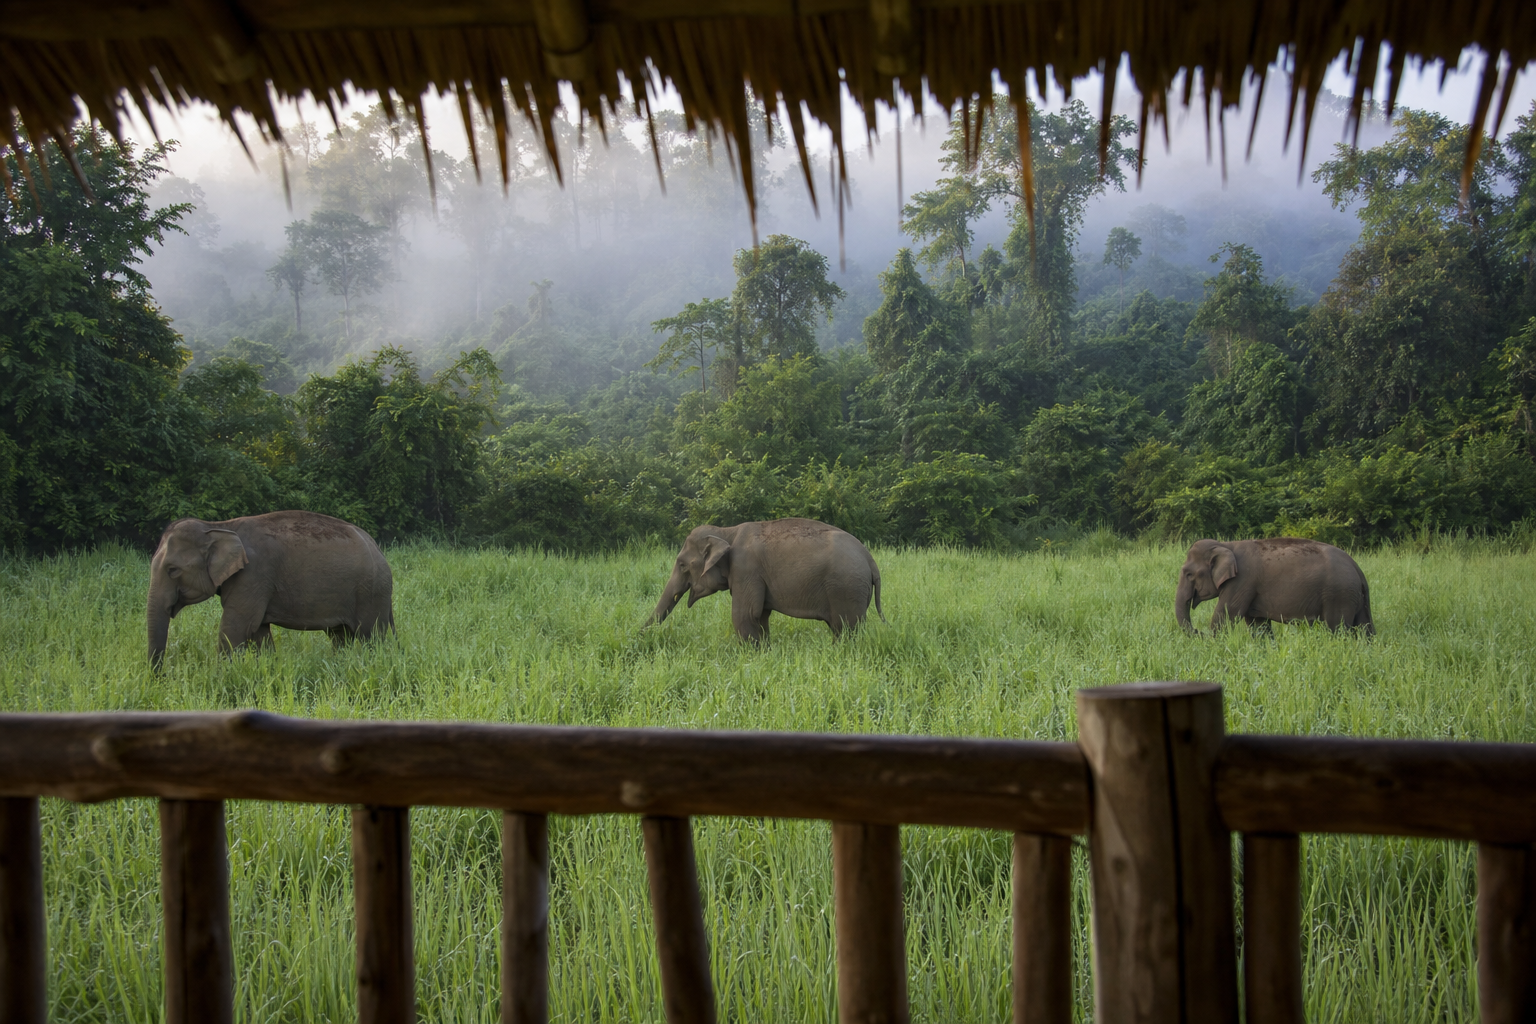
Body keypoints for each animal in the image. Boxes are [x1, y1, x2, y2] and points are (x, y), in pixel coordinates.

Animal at [147, 510, 394, 667]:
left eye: (172, 570)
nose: (160, 678)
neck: (219, 526)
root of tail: (378, 548)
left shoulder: (253, 576)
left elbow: (235, 628)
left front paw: (221, 677)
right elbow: (258, 631)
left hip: (371, 591)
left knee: (372, 637)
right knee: (340, 636)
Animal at [650, 518, 884, 642]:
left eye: (682, 564)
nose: (644, 634)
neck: (727, 531)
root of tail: (870, 559)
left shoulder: (746, 570)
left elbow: (744, 616)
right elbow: (760, 616)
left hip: (846, 588)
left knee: (846, 628)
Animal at [1176, 537, 1373, 636]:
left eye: (1189, 574)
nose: (1198, 631)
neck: (1226, 545)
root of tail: (1357, 568)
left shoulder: (1241, 582)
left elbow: (1225, 615)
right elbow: (1257, 625)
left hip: (1339, 595)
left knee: (1337, 629)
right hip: (1354, 597)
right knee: (1365, 628)